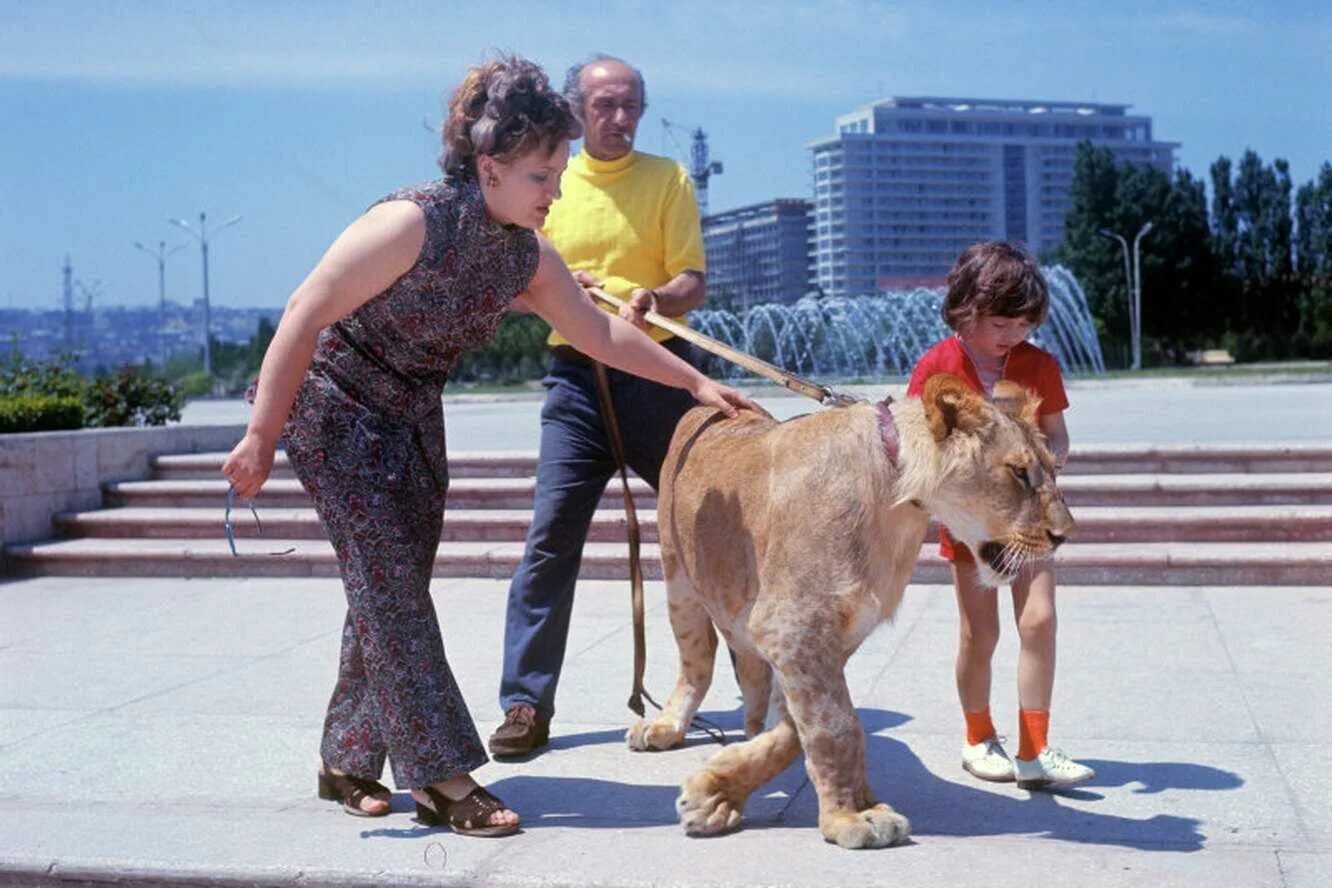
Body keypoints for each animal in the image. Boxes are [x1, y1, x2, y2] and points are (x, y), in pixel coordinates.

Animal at [628, 372, 1076, 852]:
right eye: (1018, 472)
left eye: (1053, 468)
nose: (1065, 535)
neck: (896, 502)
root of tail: (705, 408)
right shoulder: (792, 625)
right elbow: (836, 727)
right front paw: (850, 817)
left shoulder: (827, 635)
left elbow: (803, 730)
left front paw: (719, 788)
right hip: (679, 578)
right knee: (696, 662)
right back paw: (664, 725)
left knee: (748, 675)